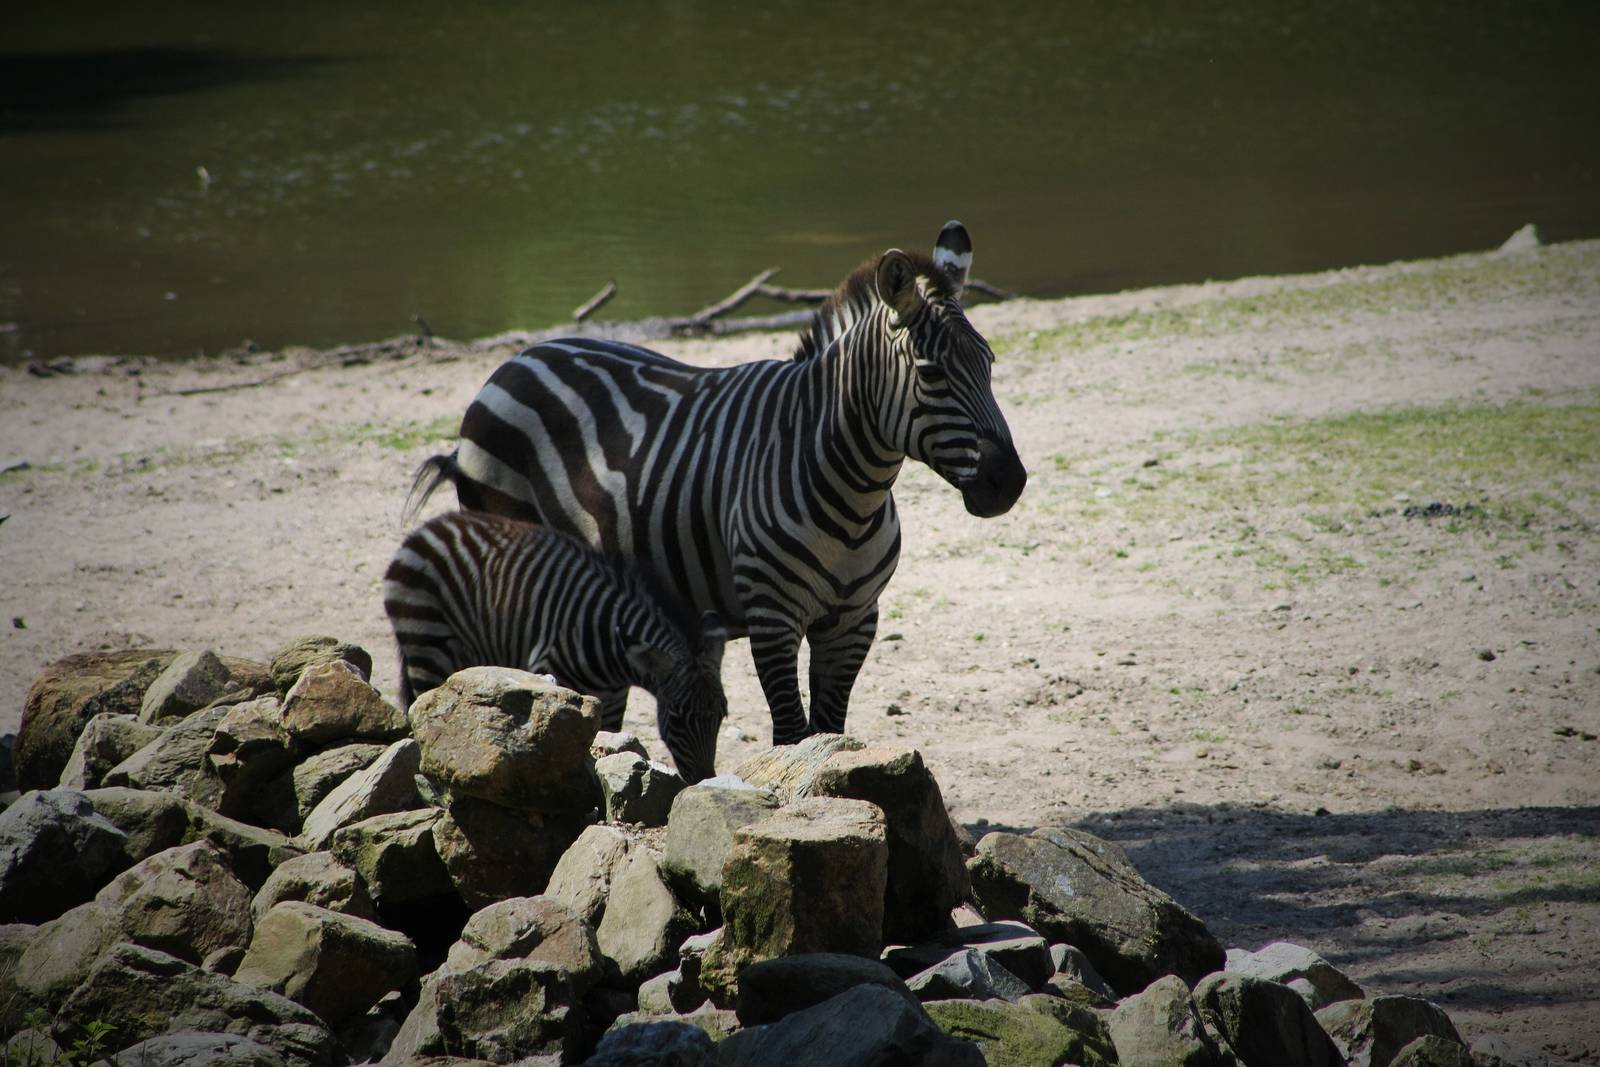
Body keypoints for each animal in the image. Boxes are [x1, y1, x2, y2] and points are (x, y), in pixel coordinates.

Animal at [383, 510, 729, 782]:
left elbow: (610, 743)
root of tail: (425, 530)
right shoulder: (551, 676)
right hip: (427, 644)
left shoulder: (614, 700)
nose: (704, 779)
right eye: (677, 718)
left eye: (722, 715)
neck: (611, 648)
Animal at [409, 221, 1025, 745]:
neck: (854, 493)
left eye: (990, 363)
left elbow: (829, 731)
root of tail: (518, 359)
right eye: (931, 373)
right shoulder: (772, 618)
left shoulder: (854, 621)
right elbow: (792, 734)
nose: (1010, 483)